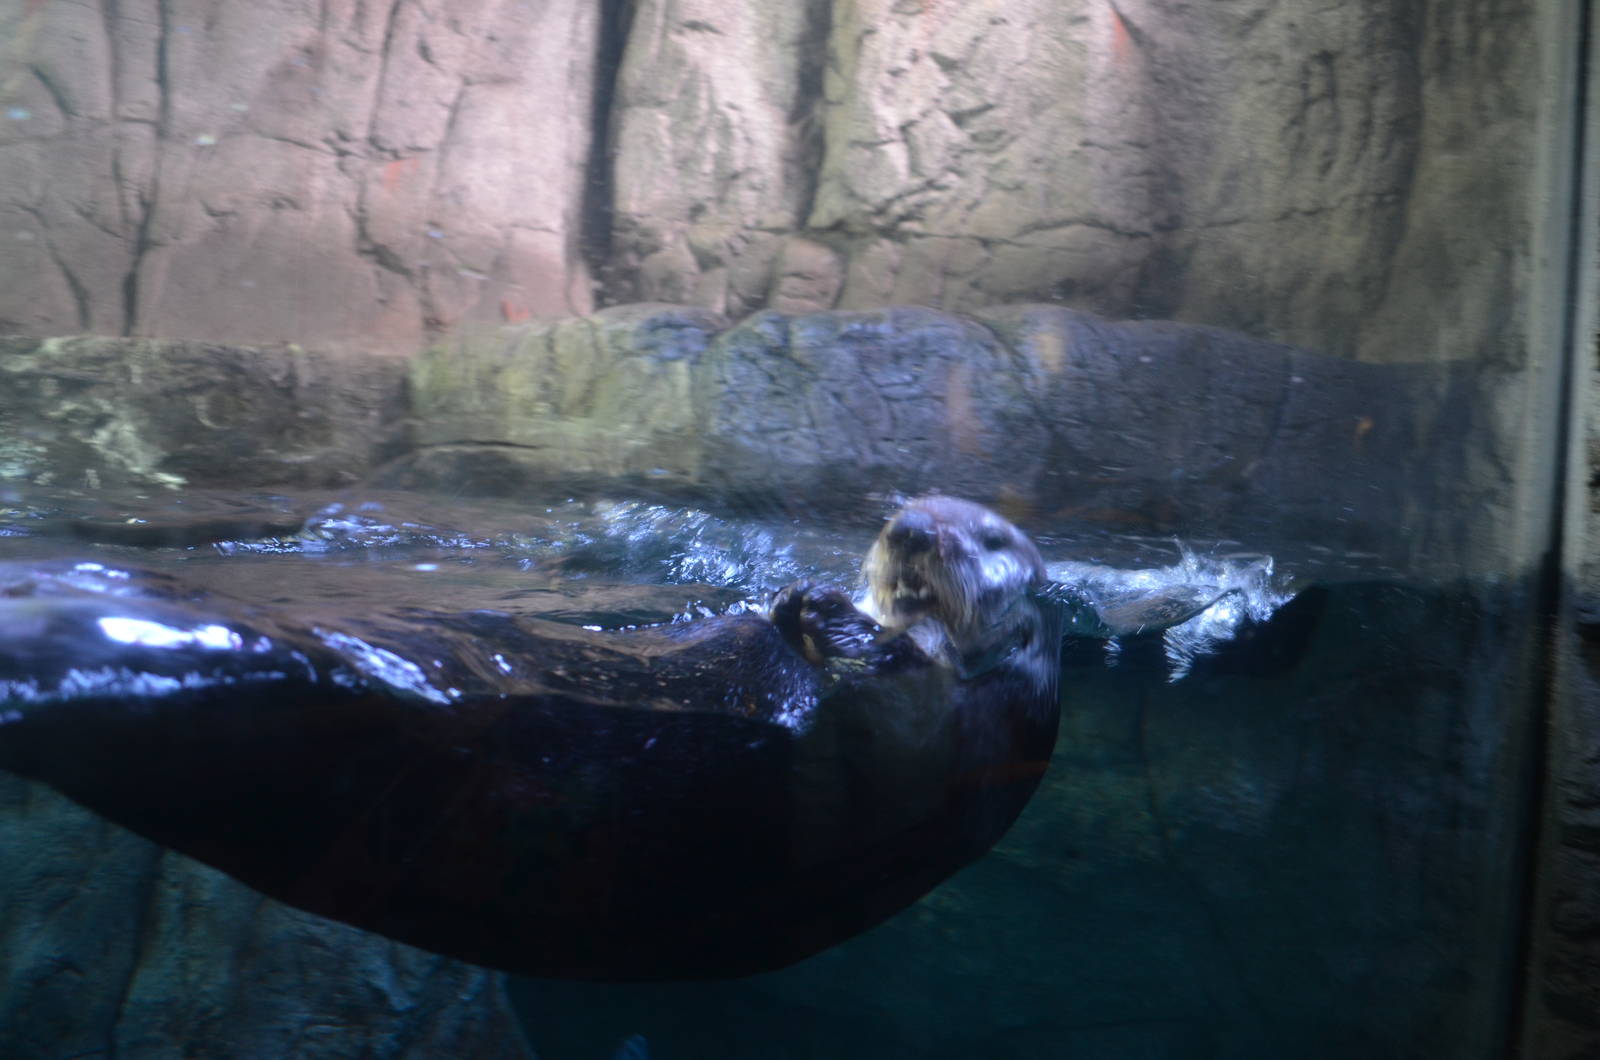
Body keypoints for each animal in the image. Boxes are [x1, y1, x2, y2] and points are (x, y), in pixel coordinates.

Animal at [0, 496, 1060, 980]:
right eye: (909, 504)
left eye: (994, 539)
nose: (911, 528)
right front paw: (798, 601)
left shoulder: (940, 744)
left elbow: (887, 715)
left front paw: (827, 619)